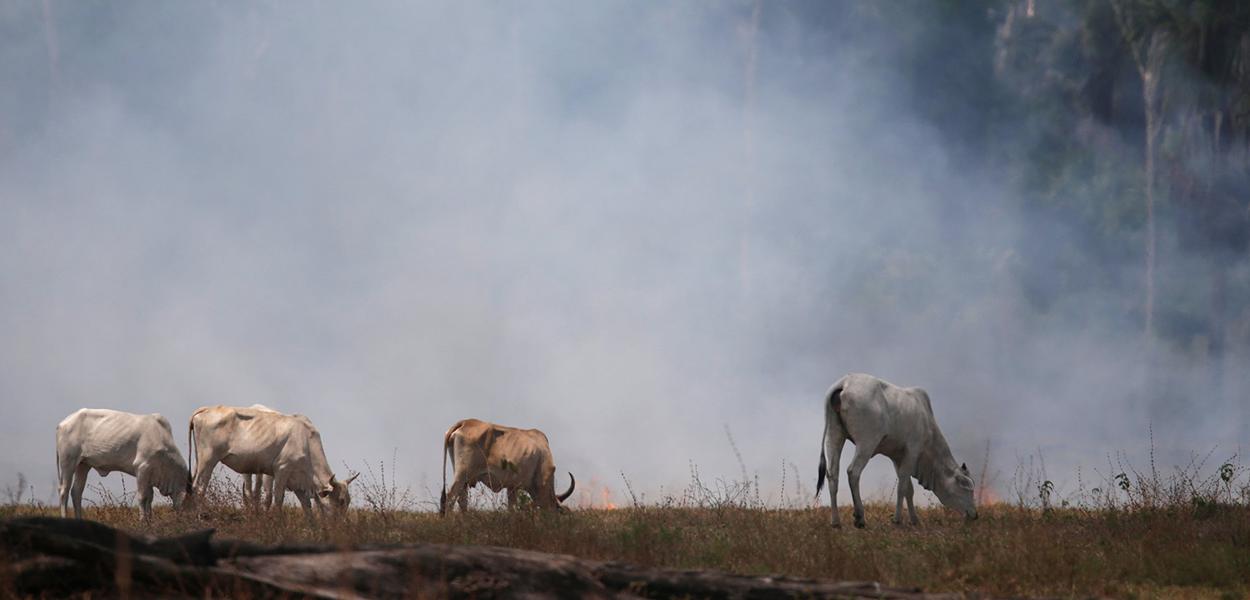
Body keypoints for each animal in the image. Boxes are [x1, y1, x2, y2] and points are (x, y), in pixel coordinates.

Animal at [55, 407, 188, 520]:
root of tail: (62, 423)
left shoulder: (149, 476)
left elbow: (149, 498)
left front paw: (150, 520)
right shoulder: (142, 468)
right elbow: (142, 497)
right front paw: (143, 520)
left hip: (83, 465)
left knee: (76, 492)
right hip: (68, 462)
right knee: (64, 491)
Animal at [188, 405, 357, 522]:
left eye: (348, 501)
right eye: (340, 501)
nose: (341, 525)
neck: (306, 442)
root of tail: (206, 409)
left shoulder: (298, 482)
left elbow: (307, 507)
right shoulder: (282, 470)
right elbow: (278, 499)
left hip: (199, 459)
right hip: (208, 459)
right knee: (199, 487)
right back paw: (198, 516)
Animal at [440, 420, 575, 512]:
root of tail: (464, 422)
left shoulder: (512, 487)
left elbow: (512, 508)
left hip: (464, 479)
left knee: (462, 500)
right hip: (462, 475)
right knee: (450, 498)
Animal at [815, 372, 980, 527]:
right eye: (967, 489)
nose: (975, 515)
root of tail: (845, 382)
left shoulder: (897, 457)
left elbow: (908, 489)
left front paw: (914, 519)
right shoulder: (913, 450)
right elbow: (902, 486)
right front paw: (897, 519)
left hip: (834, 435)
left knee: (832, 474)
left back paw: (836, 522)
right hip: (867, 442)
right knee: (853, 472)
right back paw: (860, 517)